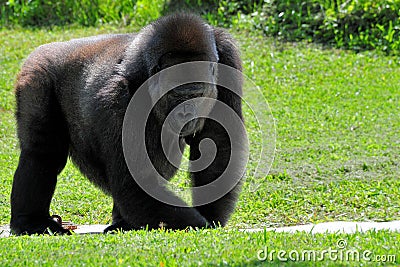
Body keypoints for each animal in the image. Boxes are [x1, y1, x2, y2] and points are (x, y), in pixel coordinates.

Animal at [9, 12, 245, 236]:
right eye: (176, 95)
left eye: (197, 94)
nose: (186, 113)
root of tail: (43, 49)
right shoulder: (117, 98)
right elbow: (135, 183)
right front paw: (200, 223)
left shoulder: (227, 58)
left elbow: (220, 143)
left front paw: (210, 213)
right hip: (35, 75)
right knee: (42, 154)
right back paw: (31, 221)